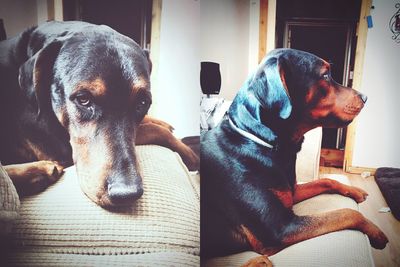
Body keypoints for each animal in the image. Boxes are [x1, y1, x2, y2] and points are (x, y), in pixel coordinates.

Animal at [0, 21, 199, 209]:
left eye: (143, 103)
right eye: (83, 99)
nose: (126, 194)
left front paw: (164, 124)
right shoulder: (59, 146)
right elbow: (154, 130)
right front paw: (190, 154)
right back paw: (39, 171)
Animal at [202, 48, 390, 266]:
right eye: (325, 75)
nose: (365, 97)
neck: (259, 141)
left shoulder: (291, 193)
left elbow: (326, 180)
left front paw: (355, 191)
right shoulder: (280, 229)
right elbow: (347, 213)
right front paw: (376, 233)